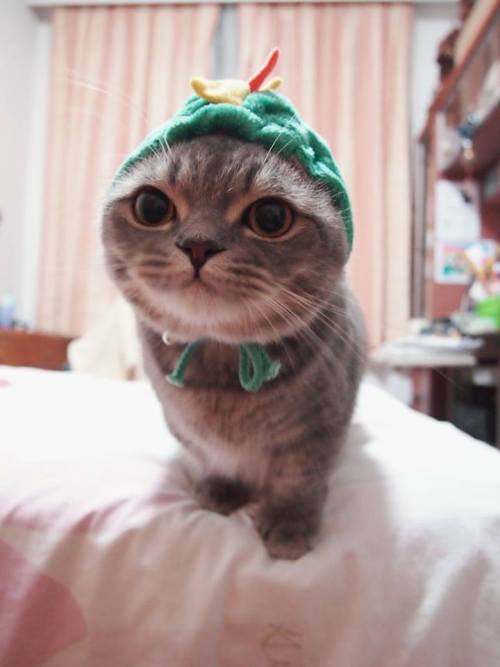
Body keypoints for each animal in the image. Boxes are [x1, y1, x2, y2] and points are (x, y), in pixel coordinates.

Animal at [102, 134, 368, 560]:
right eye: (151, 207)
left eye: (271, 217)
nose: (198, 246)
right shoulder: (186, 430)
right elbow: (213, 460)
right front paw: (221, 490)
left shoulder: (320, 429)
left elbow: (300, 477)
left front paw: (290, 523)